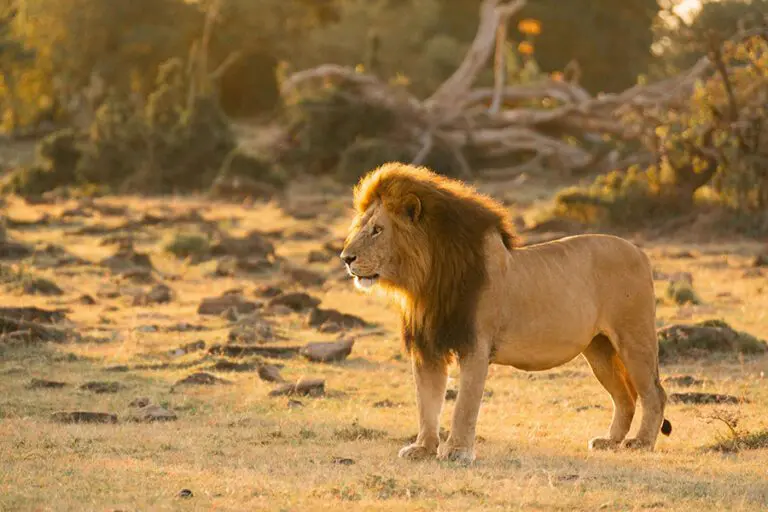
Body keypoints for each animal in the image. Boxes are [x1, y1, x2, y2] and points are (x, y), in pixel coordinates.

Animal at [339, 162, 672, 464]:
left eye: (377, 230)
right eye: (360, 226)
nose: (345, 258)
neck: (425, 281)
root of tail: (640, 252)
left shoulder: (475, 346)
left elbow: (464, 405)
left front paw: (457, 451)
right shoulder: (427, 347)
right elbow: (427, 403)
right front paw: (422, 448)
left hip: (633, 338)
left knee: (654, 393)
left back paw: (640, 443)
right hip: (599, 348)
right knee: (625, 396)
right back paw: (610, 441)